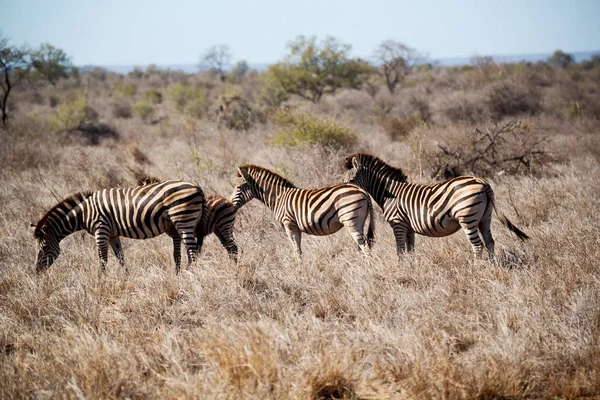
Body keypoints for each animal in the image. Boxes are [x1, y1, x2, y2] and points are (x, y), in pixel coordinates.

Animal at [32, 180, 207, 272]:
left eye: (44, 247)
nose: (37, 272)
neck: (84, 212)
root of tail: (197, 187)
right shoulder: (112, 234)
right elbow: (120, 257)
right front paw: (126, 277)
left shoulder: (101, 230)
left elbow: (103, 259)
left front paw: (101, 281)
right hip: (181, 223)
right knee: (187, 250)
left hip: (183, 220)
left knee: (192, 250)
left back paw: (191, 273)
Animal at [231, 164, 376, 258]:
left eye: (238, 188)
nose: (230, 206)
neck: (278, 197)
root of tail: (363, 191)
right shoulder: (296, 227)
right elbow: (299, 250)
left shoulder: (289, 225)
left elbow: (296, 251)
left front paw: (298, 272)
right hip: (360, 221)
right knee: (363, 246)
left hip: (351, 220)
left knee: (365, 247)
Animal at [344, 153, 528, 260]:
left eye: (351, 180)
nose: (346, 191)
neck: (389, 193)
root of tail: (482, 182)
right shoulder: (409, 227)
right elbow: (410, 251)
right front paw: (410, 269)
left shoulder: (398, 224)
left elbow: (400, 251)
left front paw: (400, 269)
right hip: (485, 217)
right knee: (490, 242)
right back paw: (491, 267)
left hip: (467, 218)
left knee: (477, 245)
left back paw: (477, 269)